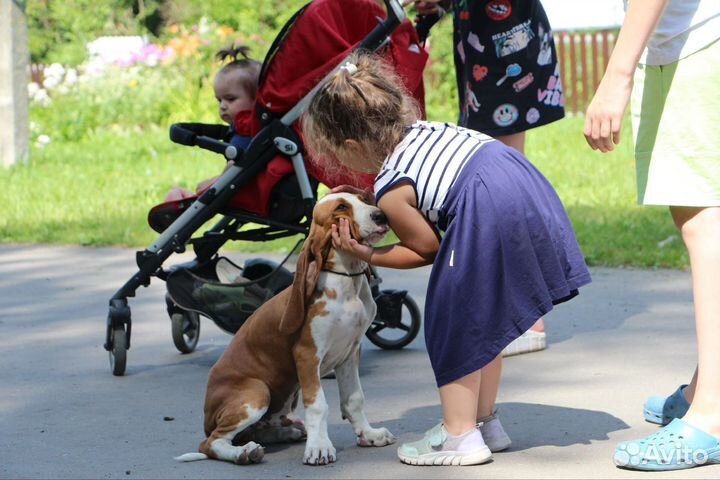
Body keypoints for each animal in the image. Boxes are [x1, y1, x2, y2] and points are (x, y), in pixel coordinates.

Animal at [178, 191, 396, 464]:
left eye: (364, 198)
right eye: (341, 208)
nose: (381, 215)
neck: (346, 284)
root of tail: (207, 418)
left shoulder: (349, 353)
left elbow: (353, 399)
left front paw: (368, 434)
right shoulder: (307, 356)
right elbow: (318, 405)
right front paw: (319, 447)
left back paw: (283, 434)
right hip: (257, 392)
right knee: (211, 442)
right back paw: (244, 452)